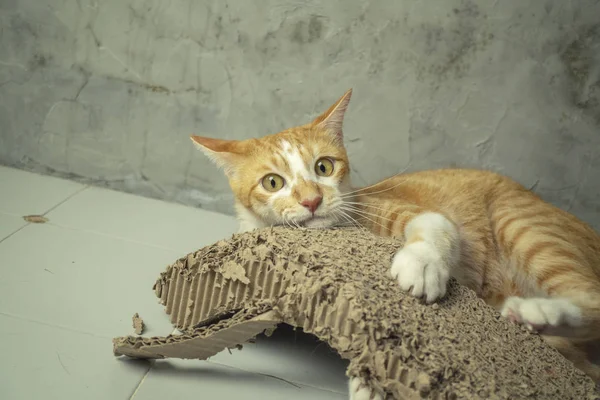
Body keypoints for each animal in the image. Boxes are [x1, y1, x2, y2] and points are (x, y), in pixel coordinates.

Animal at [190, 89, 600, 398]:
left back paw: (538, 311)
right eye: (273, 183)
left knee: (591, 299)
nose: (312, 200)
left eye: (324, 167)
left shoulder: (402, 211)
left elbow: (435, 225)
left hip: (520, 224)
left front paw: (421, 266)